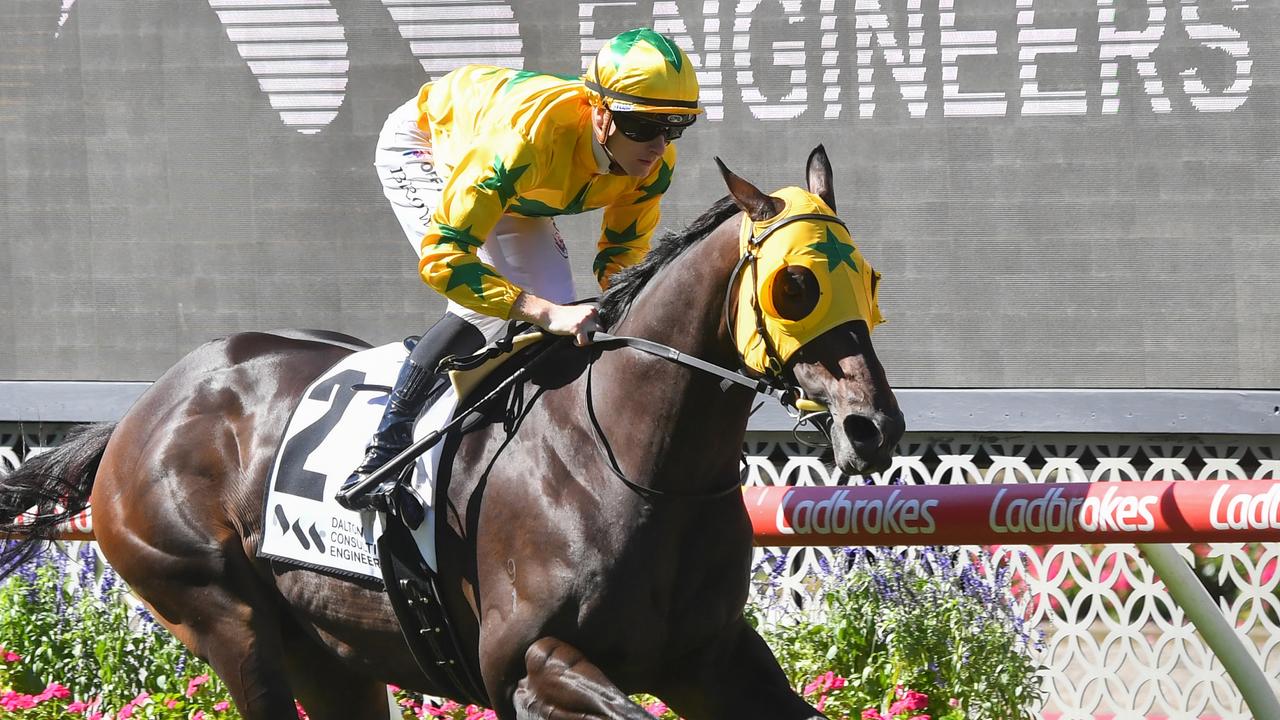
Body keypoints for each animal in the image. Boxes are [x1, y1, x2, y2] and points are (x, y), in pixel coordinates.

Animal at [2, 147, 901, 717]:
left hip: (331, 653)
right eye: (795, 285)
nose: (873, 426)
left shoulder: (710, 659)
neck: (634, 464)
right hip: (220, 613)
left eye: (868, 277)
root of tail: (144, 409)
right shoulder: (526, 665)